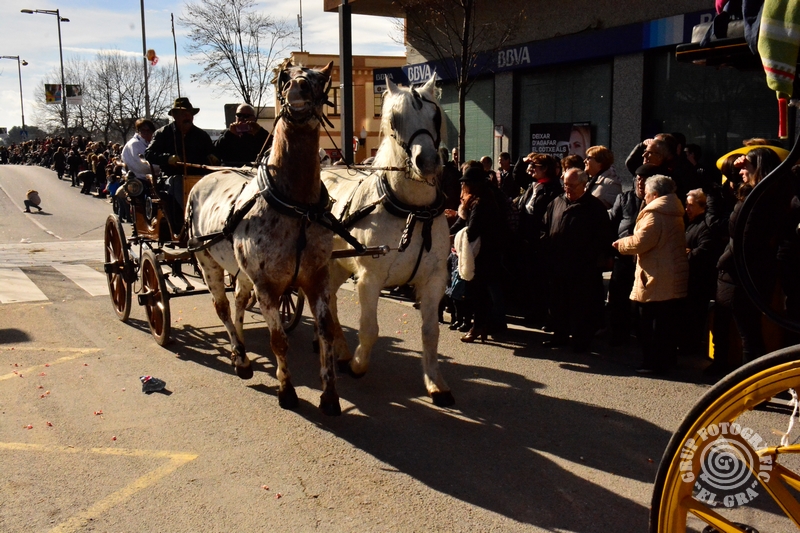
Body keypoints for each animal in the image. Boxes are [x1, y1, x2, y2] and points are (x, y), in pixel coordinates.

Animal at [186, 61, 345, 416]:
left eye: (321, 79)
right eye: (284, 78)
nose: (298, 89)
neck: (297, 207)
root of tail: (207, 177)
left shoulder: (317, 276)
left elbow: (326, 331)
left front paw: (330, 394)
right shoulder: (269, 286)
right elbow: (278, 341)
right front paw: (287, 391)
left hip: (244, 272)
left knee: (239, 302)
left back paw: (241, 347)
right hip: (206, 261)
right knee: (222, 307)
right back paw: (241, 359)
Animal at [321, 75, 455, 407]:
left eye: (435, 115)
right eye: (393, 119)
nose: (427, 161)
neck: (411, 211)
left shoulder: (434, 279)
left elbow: (430, 332)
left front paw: (435, 382)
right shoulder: (370, 278)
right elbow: (370, 329)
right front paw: (358, 365)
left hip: (338, 266)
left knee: (330, 301)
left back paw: (339, 347)